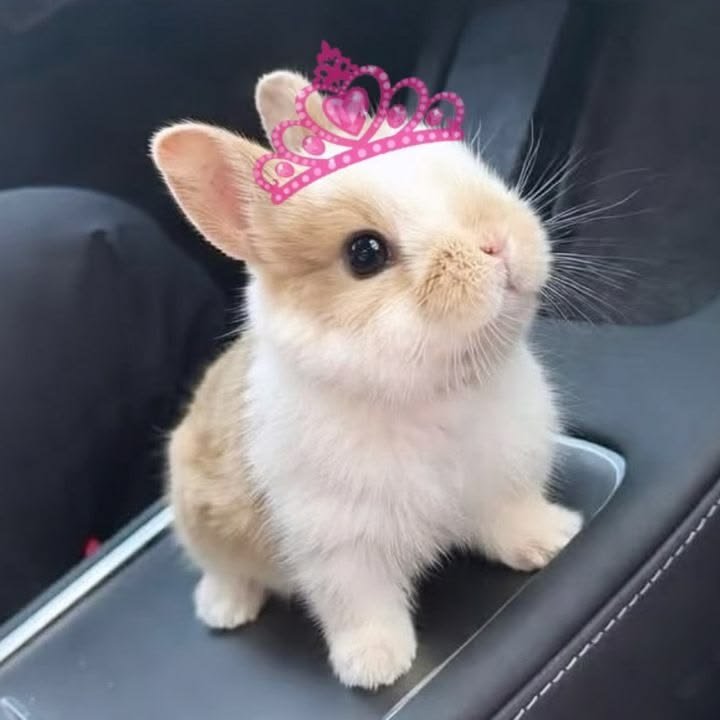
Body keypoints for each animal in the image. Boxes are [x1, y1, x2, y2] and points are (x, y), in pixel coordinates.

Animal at [151, 69, 583, 691]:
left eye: (458, 162)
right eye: (364, 253)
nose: (498, 243)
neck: (436, 395)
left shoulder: (504, 483)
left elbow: (511, 519)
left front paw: (555, 539)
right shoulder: (340, 550)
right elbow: (363, 608)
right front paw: (375, 668)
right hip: (198, 517)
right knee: (223, 569)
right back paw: (224, 611)